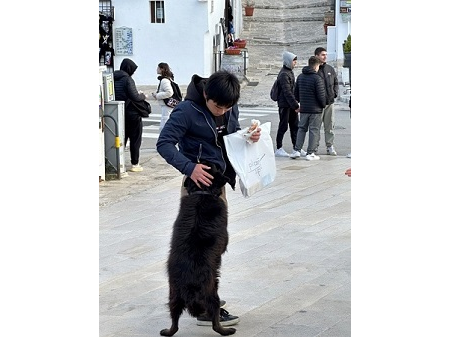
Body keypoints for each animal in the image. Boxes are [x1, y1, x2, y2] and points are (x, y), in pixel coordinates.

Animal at [159, 161, 236, 334]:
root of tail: (189, 287)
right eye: (216, 167)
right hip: (212, 293)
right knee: (215, 322)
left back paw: (167, 331)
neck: (203, 192)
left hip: (173, 296)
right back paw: (226, 330)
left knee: (174, 323)